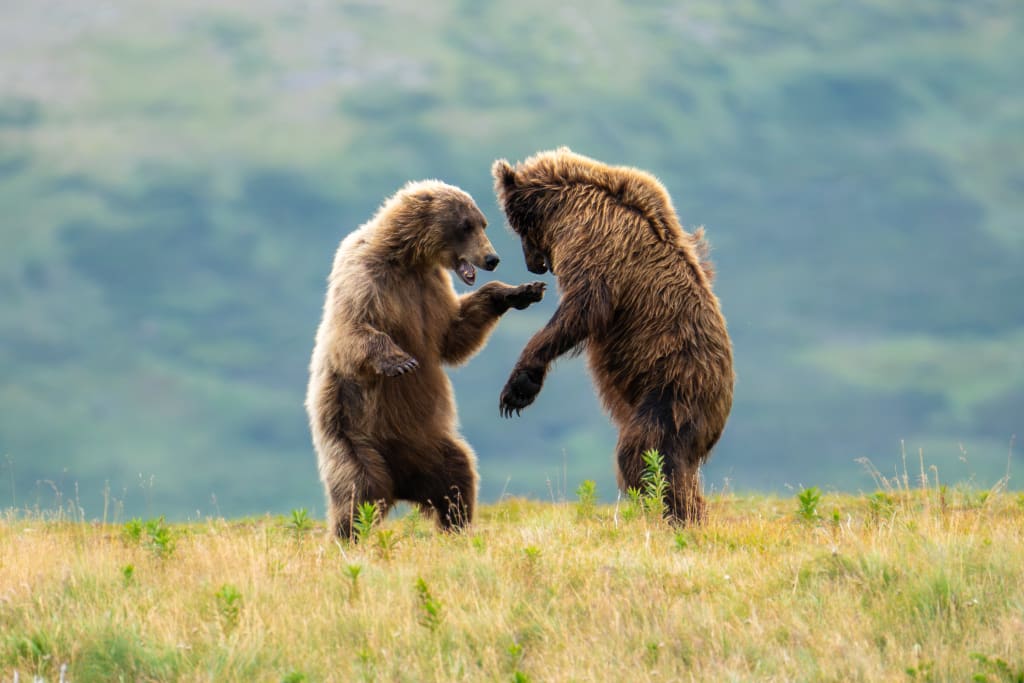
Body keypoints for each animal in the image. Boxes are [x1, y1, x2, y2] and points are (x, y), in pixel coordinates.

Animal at [306, 179, 545, 538]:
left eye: (483, 223)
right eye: (466, 225)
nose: (492, 258)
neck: (409, 260)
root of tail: (399, 487)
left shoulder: (430, 289)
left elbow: (452, 334)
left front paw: (521, 291)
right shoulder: (367, 277)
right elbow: (352, 330)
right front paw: (399, 361)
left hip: (430, 447)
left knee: (457, 480)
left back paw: (457, 527)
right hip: (353, 436)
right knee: (357, 492)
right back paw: (347, 536)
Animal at [492, 148, 734, 523]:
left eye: (518, 227)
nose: (535, 265)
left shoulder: (595, 240)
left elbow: (584, 306)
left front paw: (519, 387)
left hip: (672, 388)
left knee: (647, 451)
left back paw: (671, 515)